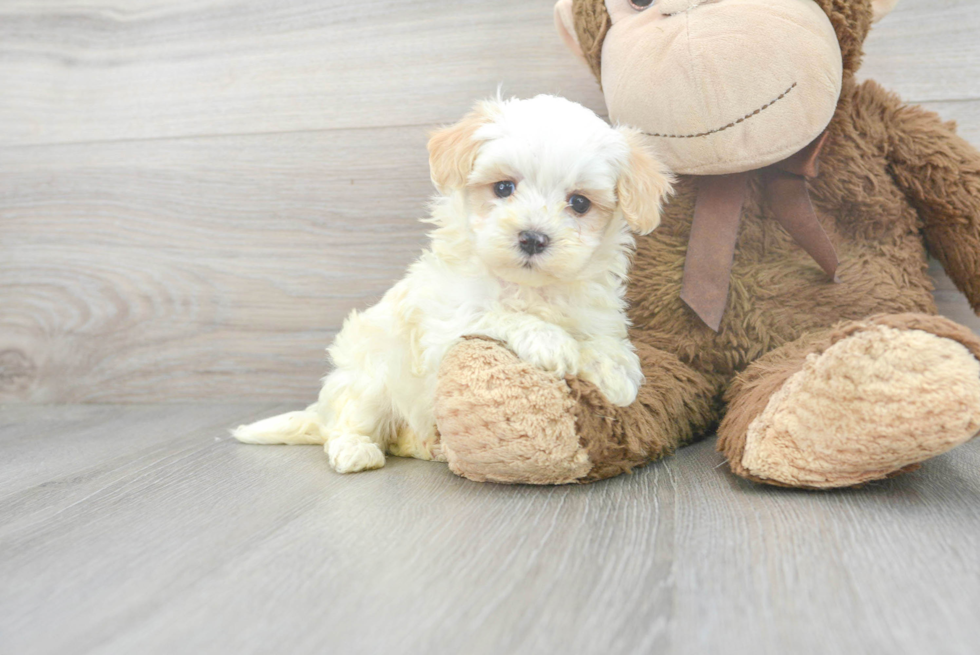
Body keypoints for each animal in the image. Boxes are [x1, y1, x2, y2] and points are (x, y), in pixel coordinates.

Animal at [234, 95, 668, 474]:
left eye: (579, 203)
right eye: (504, 188)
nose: (532, 237)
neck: (527, 287)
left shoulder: (592, 311)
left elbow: (602, 339)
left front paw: (617, 373)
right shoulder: (446, 323)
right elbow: (498, 314)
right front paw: (551, 341)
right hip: (370, 376)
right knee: (347, 423)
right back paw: (356, 450)